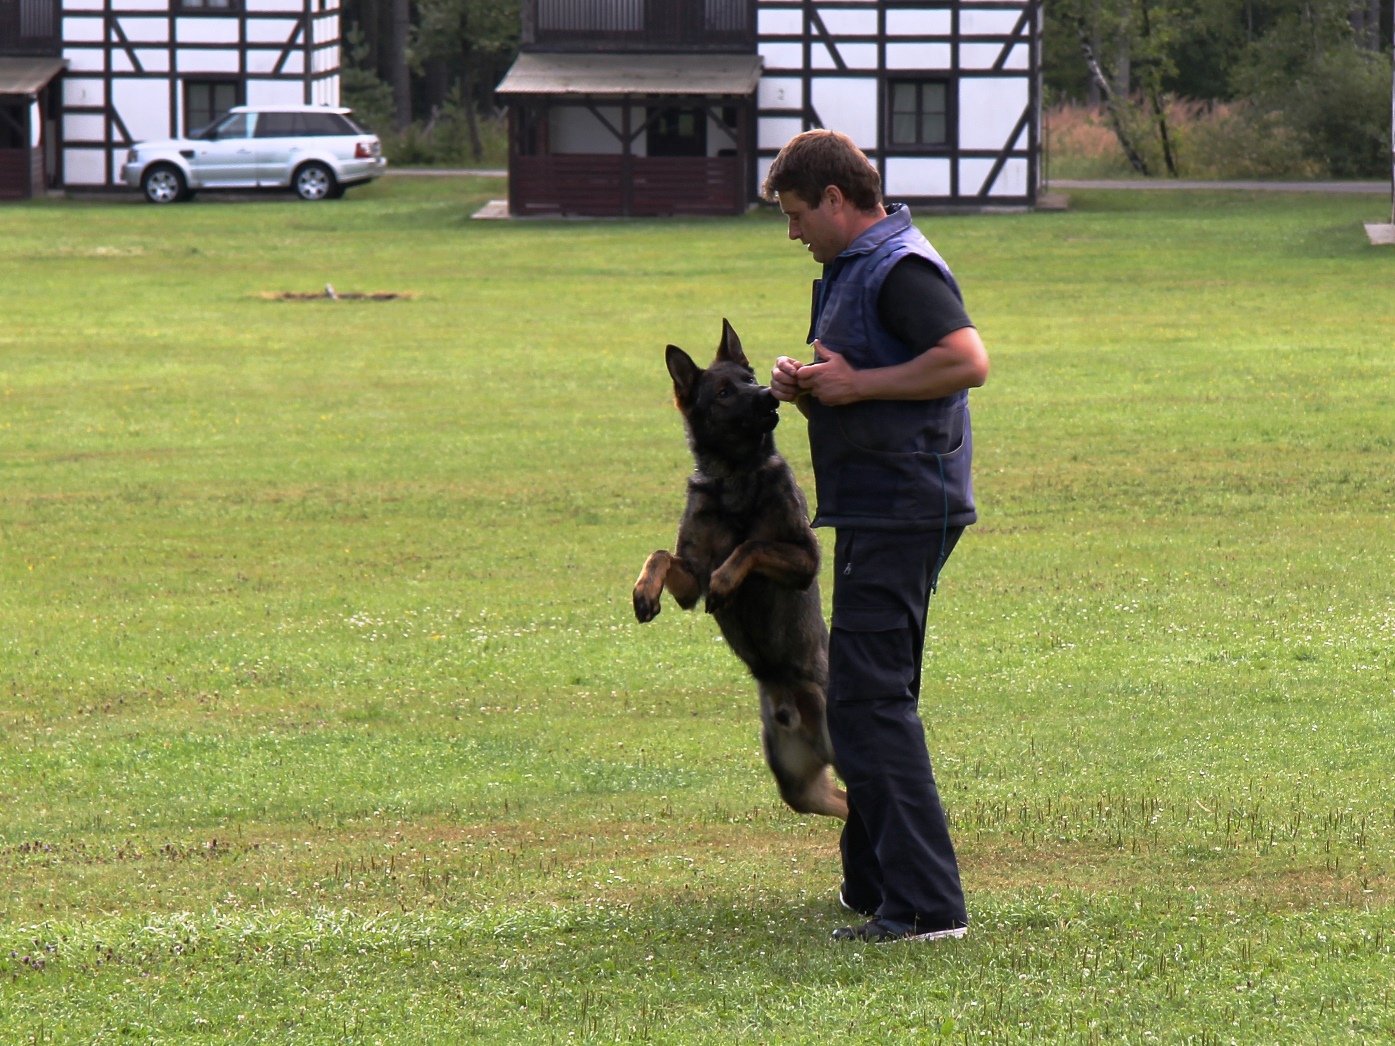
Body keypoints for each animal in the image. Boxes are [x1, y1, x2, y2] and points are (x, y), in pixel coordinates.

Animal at [636, 319, 848, 825]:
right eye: (724, 391)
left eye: (750, 377)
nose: (770, 395)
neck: (735, 474)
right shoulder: (688, 581)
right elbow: (661, 554)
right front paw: (644, 593)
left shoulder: (805, 559)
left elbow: (751, 544)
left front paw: (727, 581)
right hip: (799, 788)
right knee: (845, 803)